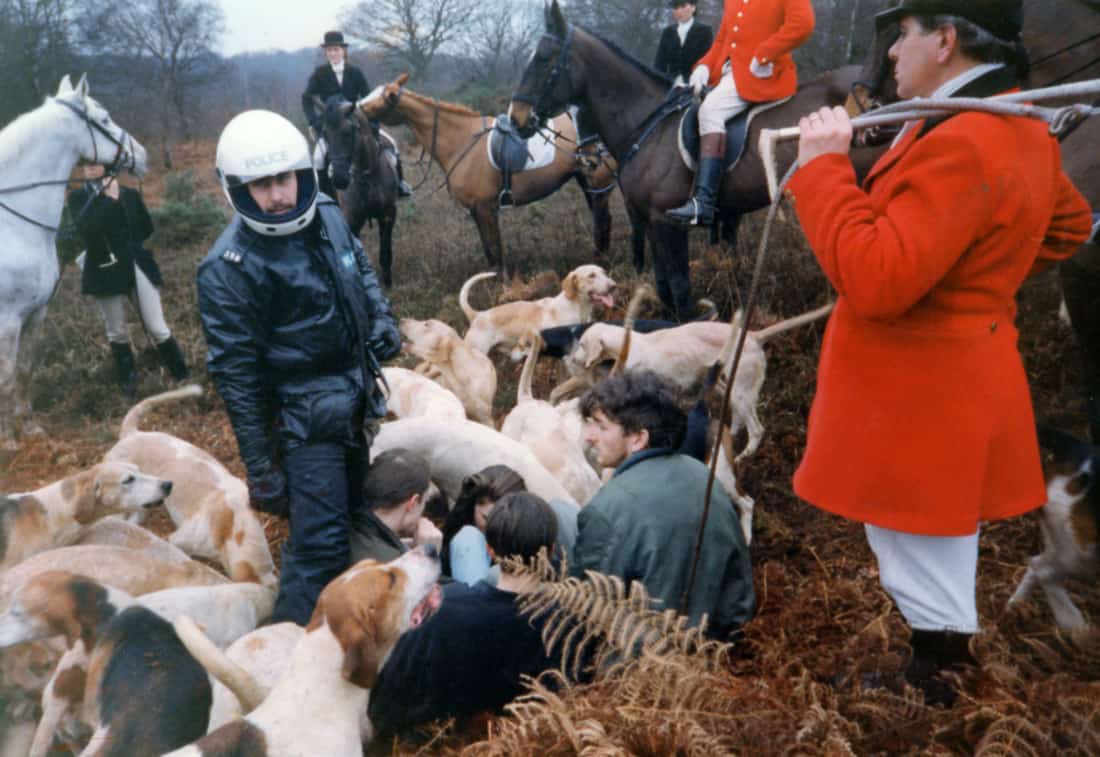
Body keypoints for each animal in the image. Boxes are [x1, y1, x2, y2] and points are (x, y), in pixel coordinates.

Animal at [0, 73, 147, 446]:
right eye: (105, 118)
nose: (141, 154)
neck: (13, 225)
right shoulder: (7, 322)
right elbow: (5, 378)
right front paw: (9, 440)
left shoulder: (35, 313)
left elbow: (24, 370)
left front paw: (29, 428)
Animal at [314, 99, 400, 288]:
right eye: (325, 134)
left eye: (347, 133)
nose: (339, 179)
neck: (367, 175)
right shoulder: (351, 221)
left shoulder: (388, 215)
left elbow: (386, 249)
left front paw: (388, 281)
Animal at [356, 73, 616, 271]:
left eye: (378, 101)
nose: (352, 109)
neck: (461, 139)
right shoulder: (476, 210)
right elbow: (489, 252)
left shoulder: (486, 208)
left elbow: (495, 249)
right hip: (586, 181)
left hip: (598, 183)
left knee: (603, 221)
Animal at [506, 0, 884, 319]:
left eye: (544, 58)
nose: (516, 118)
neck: (649, 123)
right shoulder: (652, 221)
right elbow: (663, 285)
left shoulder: (668, 221)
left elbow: (679, 286)